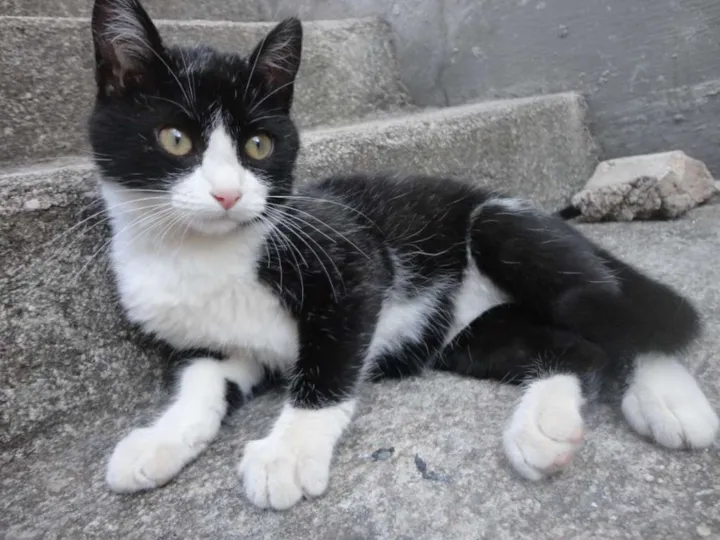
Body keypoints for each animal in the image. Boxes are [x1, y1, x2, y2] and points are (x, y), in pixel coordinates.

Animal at [89, 0, 719, 510]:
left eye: (258, 145)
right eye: (175, 139)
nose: (227, 194)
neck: (206, 255)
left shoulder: (353, 261)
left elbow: (330, 362)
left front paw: (289, 451)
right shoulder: (211, 340)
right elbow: (200, 381)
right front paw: (159, 442)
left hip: (502, 226)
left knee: (618, 314)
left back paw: (669, 401)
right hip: (468, 338)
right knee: (579, 350)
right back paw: (545, 428)